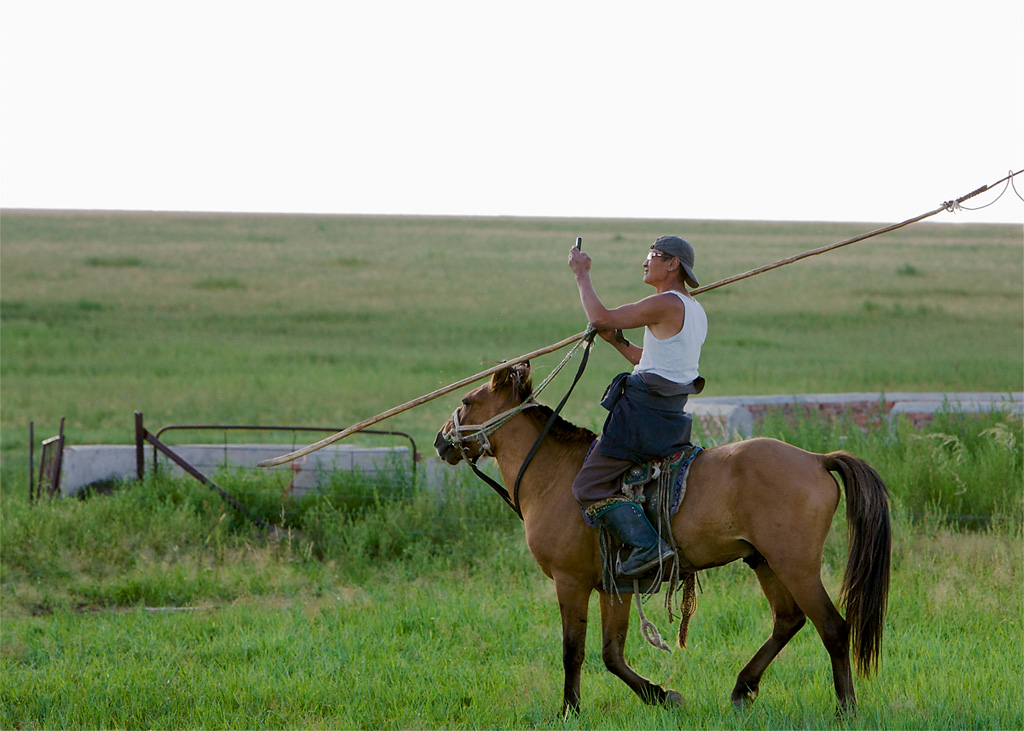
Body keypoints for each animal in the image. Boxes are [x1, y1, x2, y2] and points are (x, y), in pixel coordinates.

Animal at [436, 362, 892, 716]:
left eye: (467, 402)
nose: (441, 442)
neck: (555, 474)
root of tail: (816, 459)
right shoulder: (615, 586)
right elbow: (612, 653)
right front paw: (661, 696)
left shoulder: (571, 582)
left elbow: (573, 649)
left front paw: (569, 709)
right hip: (764, 560)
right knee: (788, 620)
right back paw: (742, 688)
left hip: (795, 564)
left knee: (832, 627)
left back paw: (845, 708)